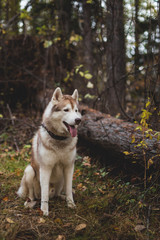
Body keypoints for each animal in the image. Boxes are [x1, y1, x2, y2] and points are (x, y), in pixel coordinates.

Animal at [17, 87, 81, 216]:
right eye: (66, 110)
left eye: (76, 110)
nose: (78, 120)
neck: (59, 140)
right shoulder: (46, 168)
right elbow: (44, 192)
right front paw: (44, 210)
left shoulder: (69, 166)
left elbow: (69, 188)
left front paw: (70, 203)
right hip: (29, 171)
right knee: (33, 195)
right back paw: (31, 202)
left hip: (61, 178)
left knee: (57, 194)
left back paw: (61, 197)